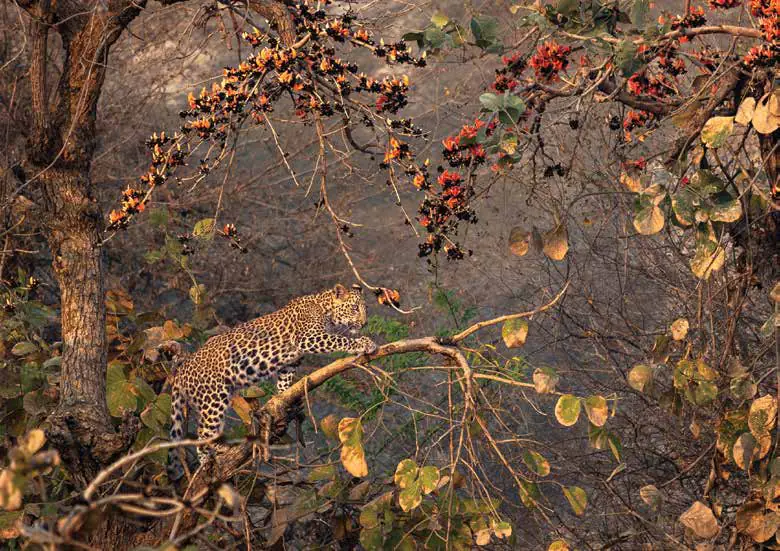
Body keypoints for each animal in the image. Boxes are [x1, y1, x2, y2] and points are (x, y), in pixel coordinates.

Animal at [167, 283, 377, 479]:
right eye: (355, 308)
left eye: (365, 308)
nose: (364, 322)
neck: (327, 310)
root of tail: (182, 370)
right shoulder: (309, 337)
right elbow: (341, 340)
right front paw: (364, 343)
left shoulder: (291, 361)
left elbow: (284, 381)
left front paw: (285, 397)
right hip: (213, 398)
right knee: (203, 433)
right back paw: (210, 459)